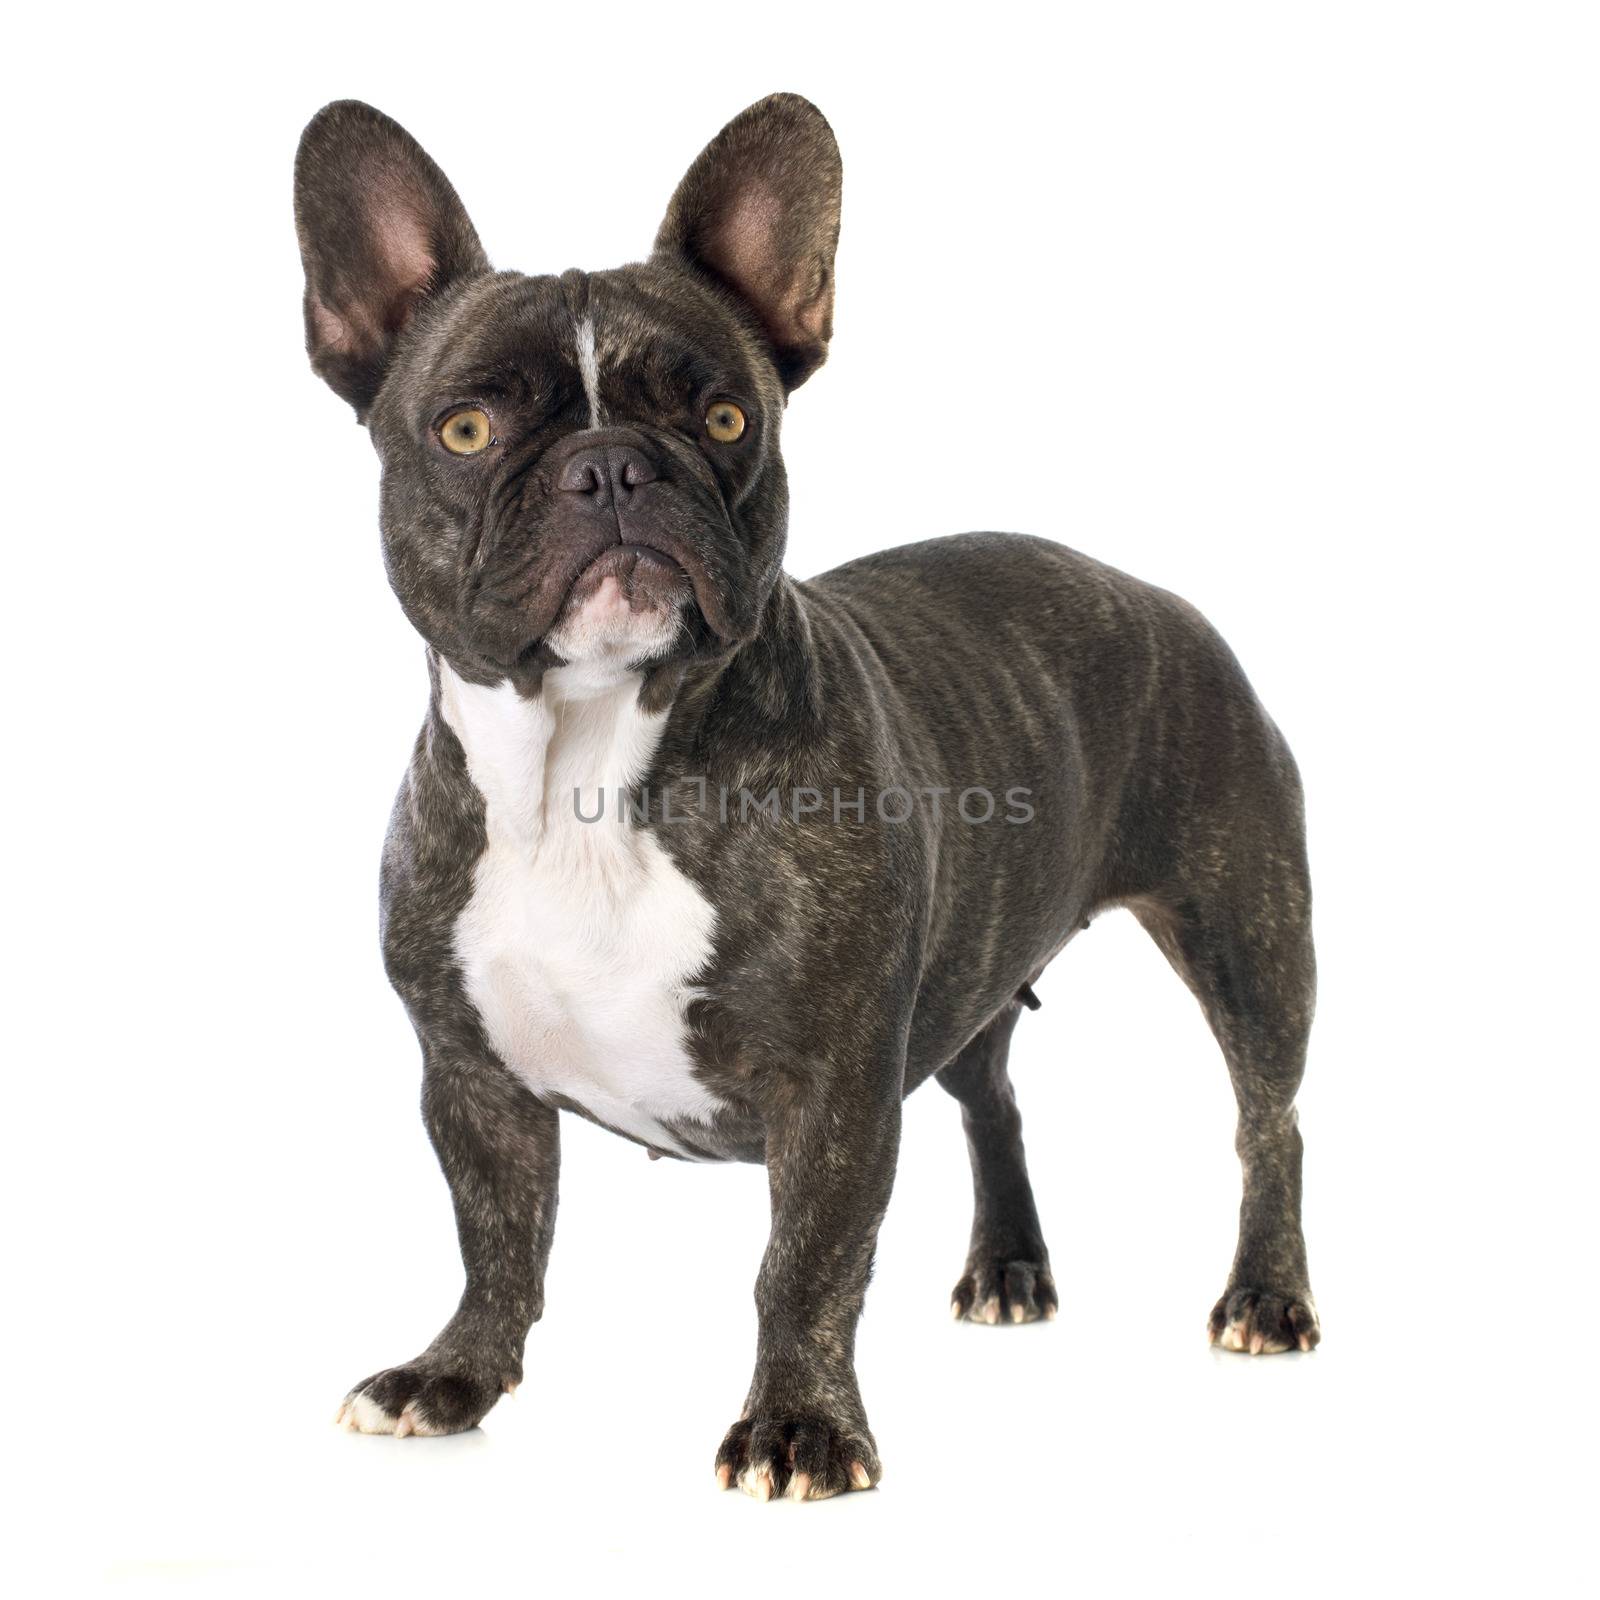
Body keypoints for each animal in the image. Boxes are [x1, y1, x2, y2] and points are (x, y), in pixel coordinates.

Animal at [294, 96, 1318, 1497]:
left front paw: (799, 1429)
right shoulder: (469, 1073)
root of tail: (1156, 594)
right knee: (992, 1092)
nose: (611, 467)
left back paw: (1265, 1297)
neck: (587, 779)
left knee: (1268, 1121)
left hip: (1243, 933)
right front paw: (454, 1374)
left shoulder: (833, 1082)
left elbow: (806, 1263)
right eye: (465, 431)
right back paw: (1008, 1267)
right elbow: (496, 1238)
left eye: (725, 419)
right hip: (977, 976)